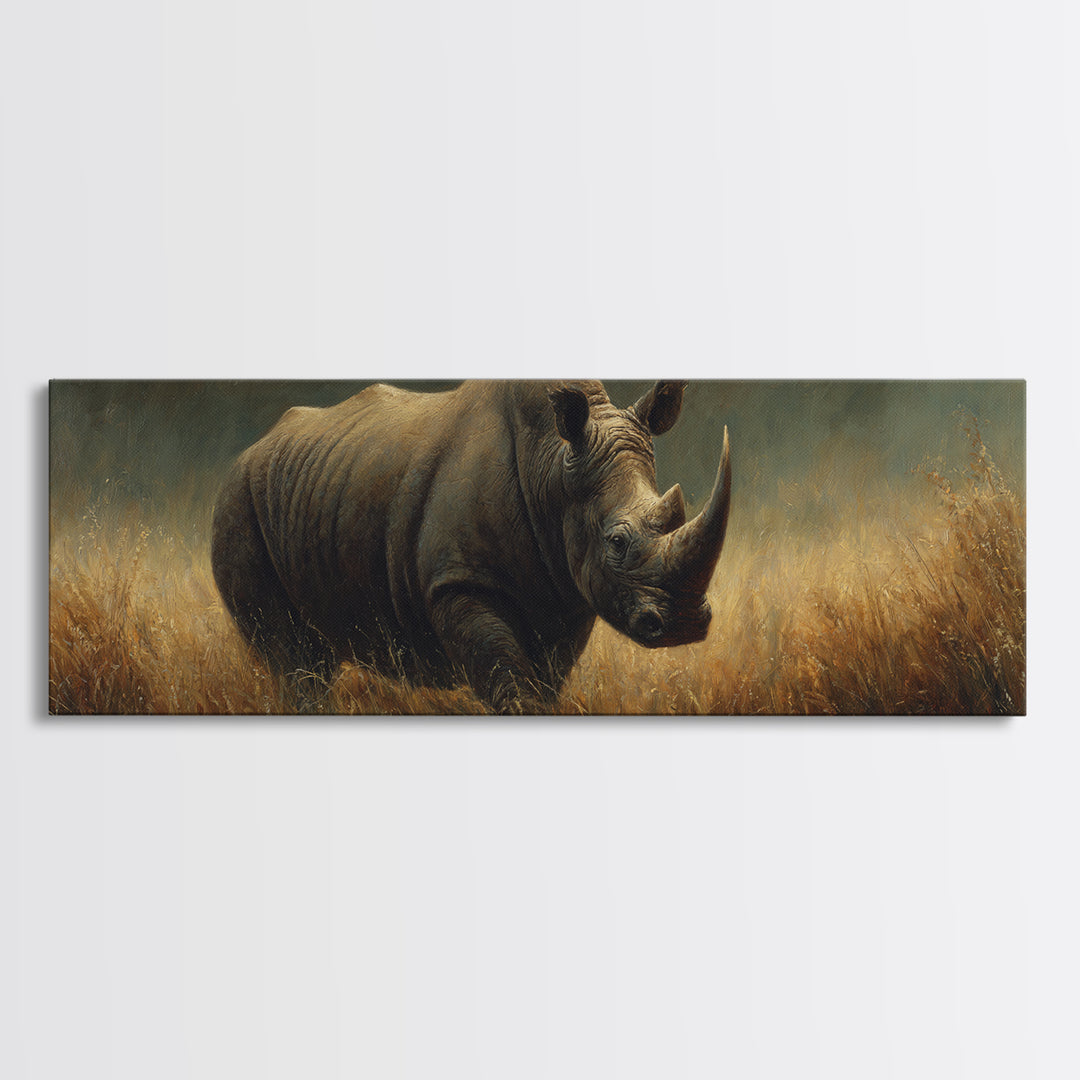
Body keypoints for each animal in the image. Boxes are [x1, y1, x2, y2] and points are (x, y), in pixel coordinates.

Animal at [211, 380, 730, 713]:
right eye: (617, 542)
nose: (685, 624)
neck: (551, 468)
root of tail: (253, 448)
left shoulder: (569, 591)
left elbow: (544, 683)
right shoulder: (458, 583)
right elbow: (507, 681)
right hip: (239, 500)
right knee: (295, 662)